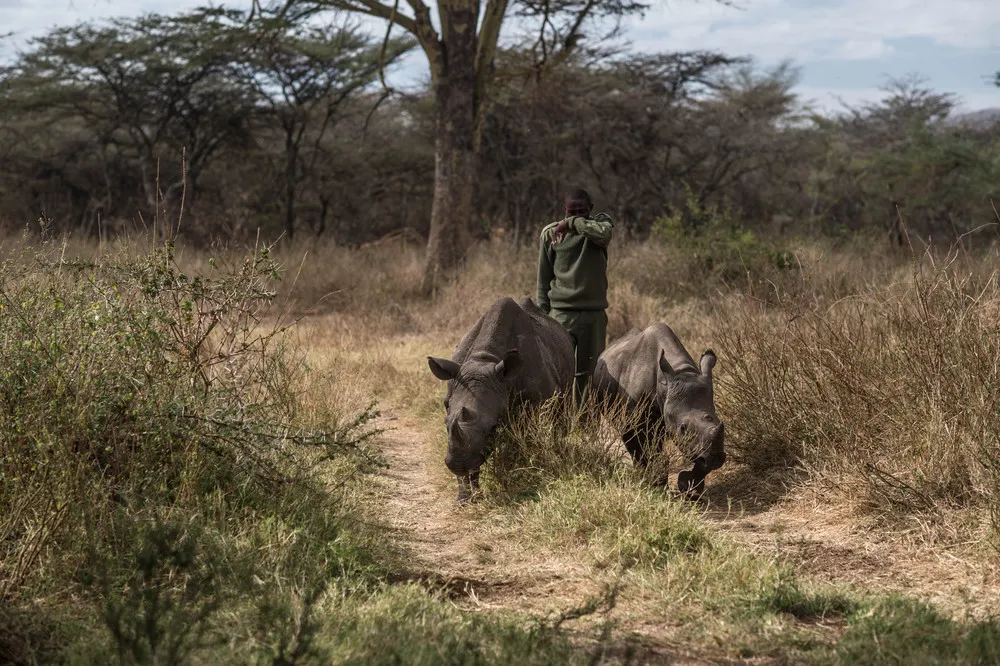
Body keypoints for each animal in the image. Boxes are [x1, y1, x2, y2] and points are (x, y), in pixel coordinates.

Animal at [426, 294, 576, 498]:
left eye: (493, 427)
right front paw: (466, 498)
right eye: (445, 423)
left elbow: (532, 439)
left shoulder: (540, 401)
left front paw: (531, 475)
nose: (458, 464)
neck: (484, 359)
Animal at [592, 322, 728, 498]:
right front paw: (655, 485)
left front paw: (688, 486)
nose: (716, 458)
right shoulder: (634, 419)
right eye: (682, 428)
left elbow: (699, 459)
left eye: (719, 421)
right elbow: (646, 447)